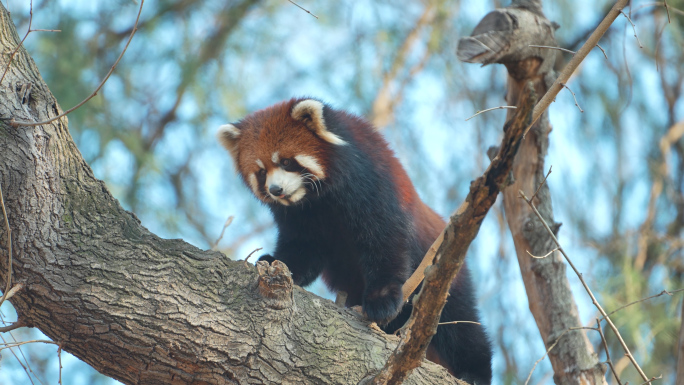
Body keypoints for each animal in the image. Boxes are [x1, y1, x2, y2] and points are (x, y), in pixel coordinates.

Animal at [219, 98, 492, 380]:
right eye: (261, 172)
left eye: (285, 161)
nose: (276, 190)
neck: (318, 199)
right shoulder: (302, 218)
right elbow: (302, 250)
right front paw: (274, 261)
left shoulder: (372, 184)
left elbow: (385, 241)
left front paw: (381, 299)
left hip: (441, 269)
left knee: (459, 324)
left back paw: (474, 371)